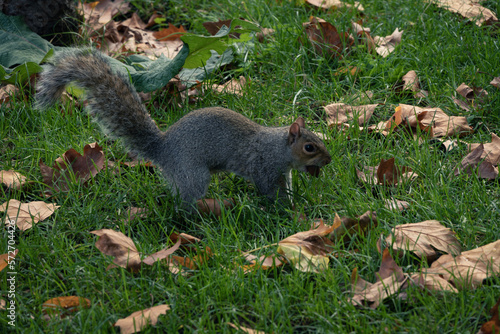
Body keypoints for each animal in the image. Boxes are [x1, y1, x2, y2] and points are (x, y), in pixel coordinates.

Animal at [36, 49, 332, 209]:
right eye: (309, 147)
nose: (329, 161)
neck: (278, 147)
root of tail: (163, 149)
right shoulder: (264, 167)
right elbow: (270, 190)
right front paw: (286, 208)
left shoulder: (284, 172)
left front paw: (294, 201)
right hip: (193, 174)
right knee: (184, 203)